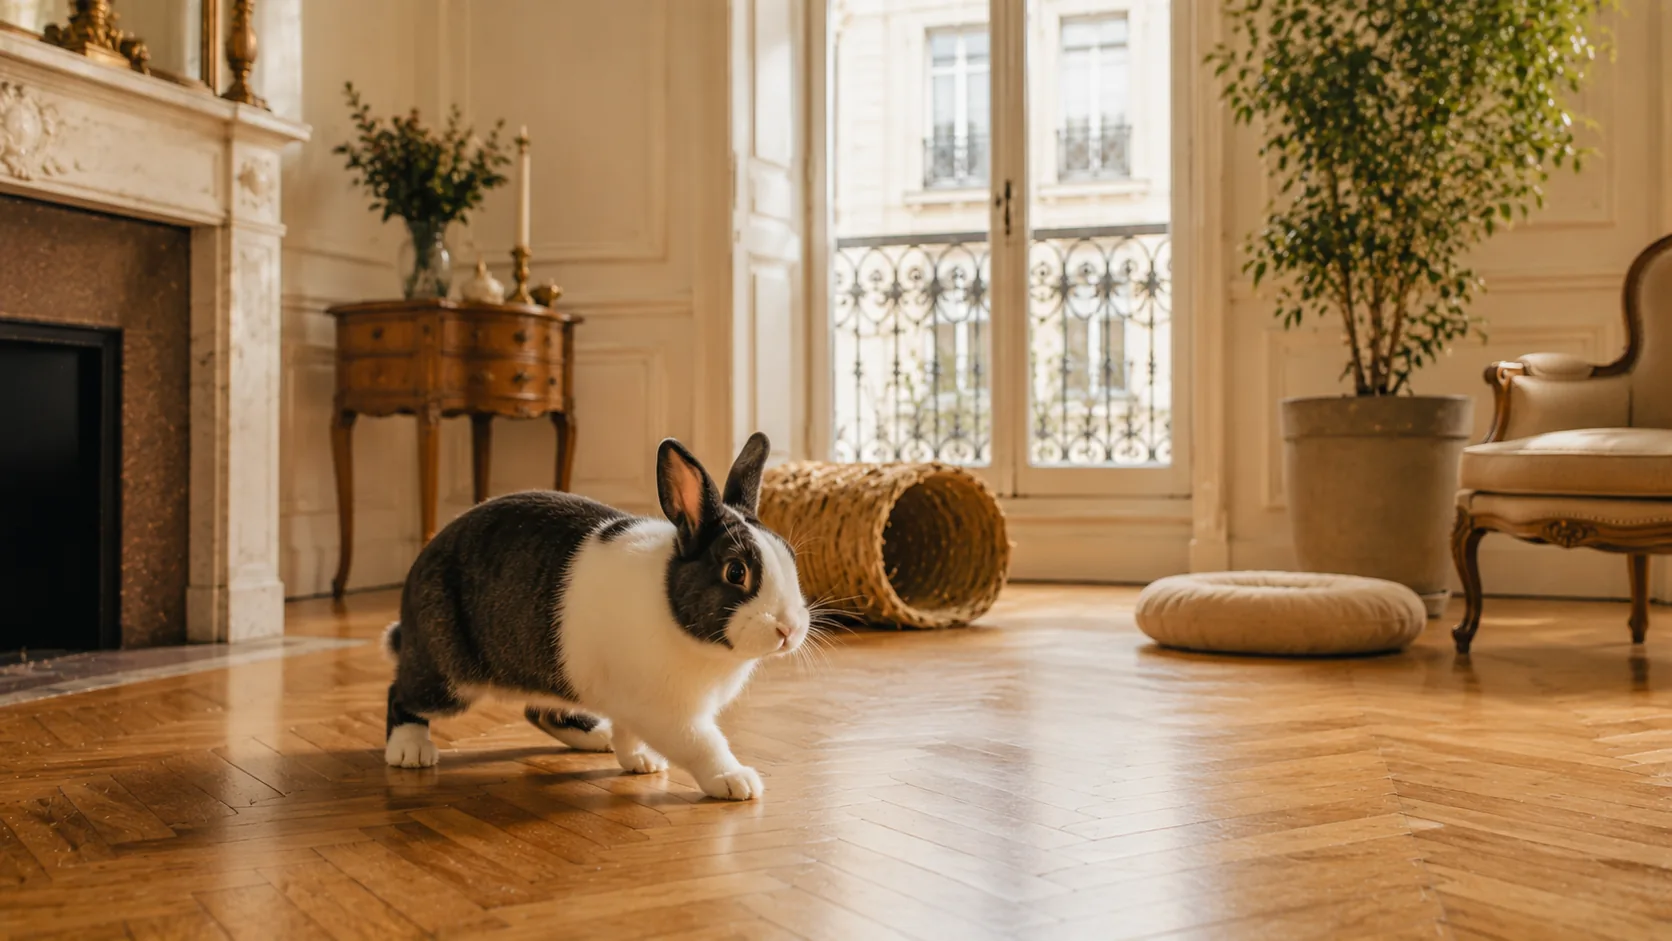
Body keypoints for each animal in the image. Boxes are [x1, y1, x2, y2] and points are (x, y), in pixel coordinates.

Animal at [381, 432, 810, 801]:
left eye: (790, 557)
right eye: (736, 572)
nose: (788, 628)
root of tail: (424, 560)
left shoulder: (632, 702)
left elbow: (630, 732)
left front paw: (642, 761)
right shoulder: (670, 713)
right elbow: (703, 744)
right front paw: (736, 781)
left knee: (538, 710)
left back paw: (597, 737)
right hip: (446, 676)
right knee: (401, 695)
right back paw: (410, 751)